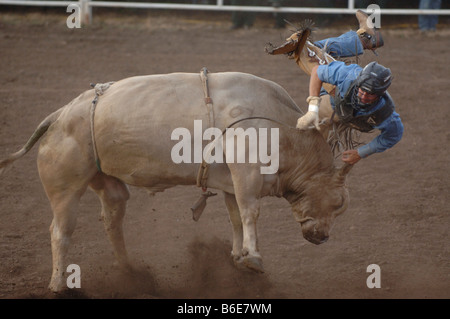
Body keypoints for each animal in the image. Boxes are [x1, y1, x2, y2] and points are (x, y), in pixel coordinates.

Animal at [0, 71, 352, 294]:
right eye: (338, 202)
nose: (322, 237)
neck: (284, 127)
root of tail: (58, 116)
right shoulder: (246, 171)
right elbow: (250, 212)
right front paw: (252, 259)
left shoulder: (231, 180)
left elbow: (236, 217)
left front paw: (238, 256)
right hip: (65, 187)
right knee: (60, 232)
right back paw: (60, 285)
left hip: (107, 183)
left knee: (112, 220)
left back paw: (131, 273)